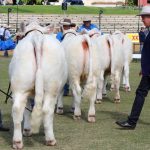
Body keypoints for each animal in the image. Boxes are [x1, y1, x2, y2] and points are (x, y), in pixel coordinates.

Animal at [9, 21, 67, 149]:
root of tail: (36, 38)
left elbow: (27, 109)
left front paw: (27, 130)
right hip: (51, 88)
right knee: (47, 110)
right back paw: (50, 139)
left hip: (20, 87)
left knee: (17, 109)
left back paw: (17, 142)